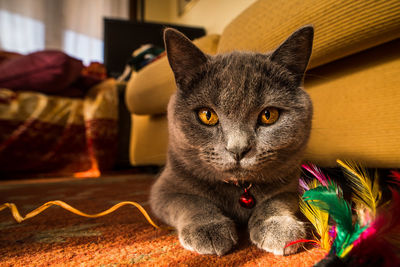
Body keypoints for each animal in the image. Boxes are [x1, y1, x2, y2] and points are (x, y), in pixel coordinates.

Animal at [148, 25, 314, 258]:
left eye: (268, 115)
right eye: (207, 115)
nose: (238, 149)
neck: (239, 190)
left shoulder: (291, 184)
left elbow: (277, 199)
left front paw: (278, 227)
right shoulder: (164, 190)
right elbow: (190, 200)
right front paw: (209, 229)